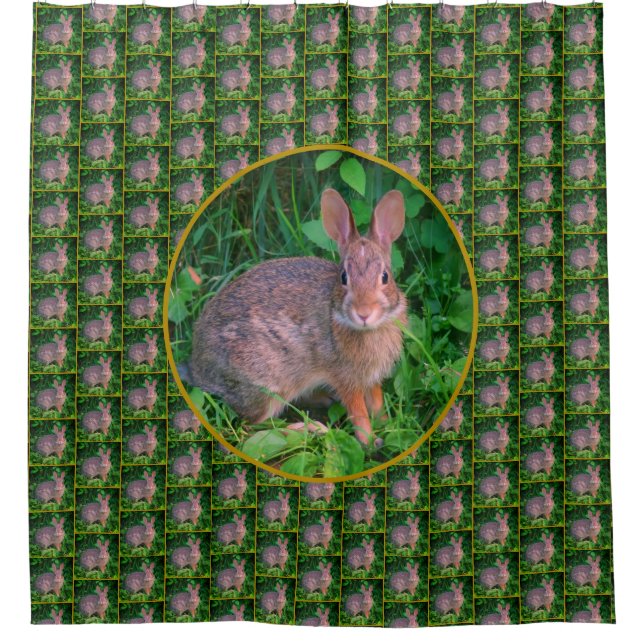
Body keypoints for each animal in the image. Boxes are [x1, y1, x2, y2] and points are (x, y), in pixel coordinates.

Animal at [187, 189, 407, 447]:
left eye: (385, 277)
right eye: (343, 277)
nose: (364, 313)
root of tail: (198, 368)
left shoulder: (371, 379)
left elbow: (377, 402)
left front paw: (387, 426)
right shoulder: (347, 379)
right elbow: (359, 413)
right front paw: (369, 441)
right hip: (267, 385)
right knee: (250, 430)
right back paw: (308, 428)